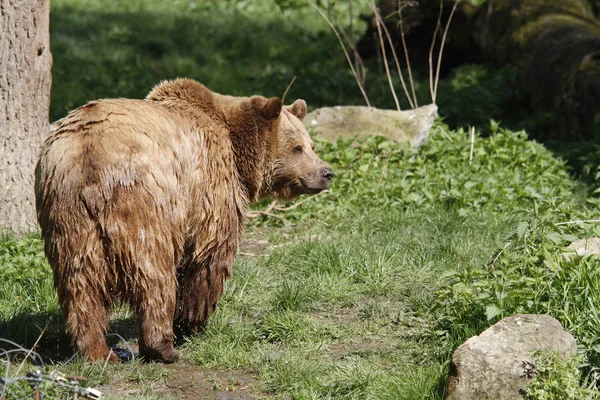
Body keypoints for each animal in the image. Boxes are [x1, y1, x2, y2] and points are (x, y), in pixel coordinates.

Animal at [35, 78, 332, 362]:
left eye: (311, 145)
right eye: (297, 148)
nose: (326, 172)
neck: (239, 152)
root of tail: (88, 155)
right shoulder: (210, 189)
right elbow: (208, 258)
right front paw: (192, 324)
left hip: (67, 215)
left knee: (80, 284)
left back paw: (98, 352)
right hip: (144, 202)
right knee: (153, 272)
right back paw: (162, 348)